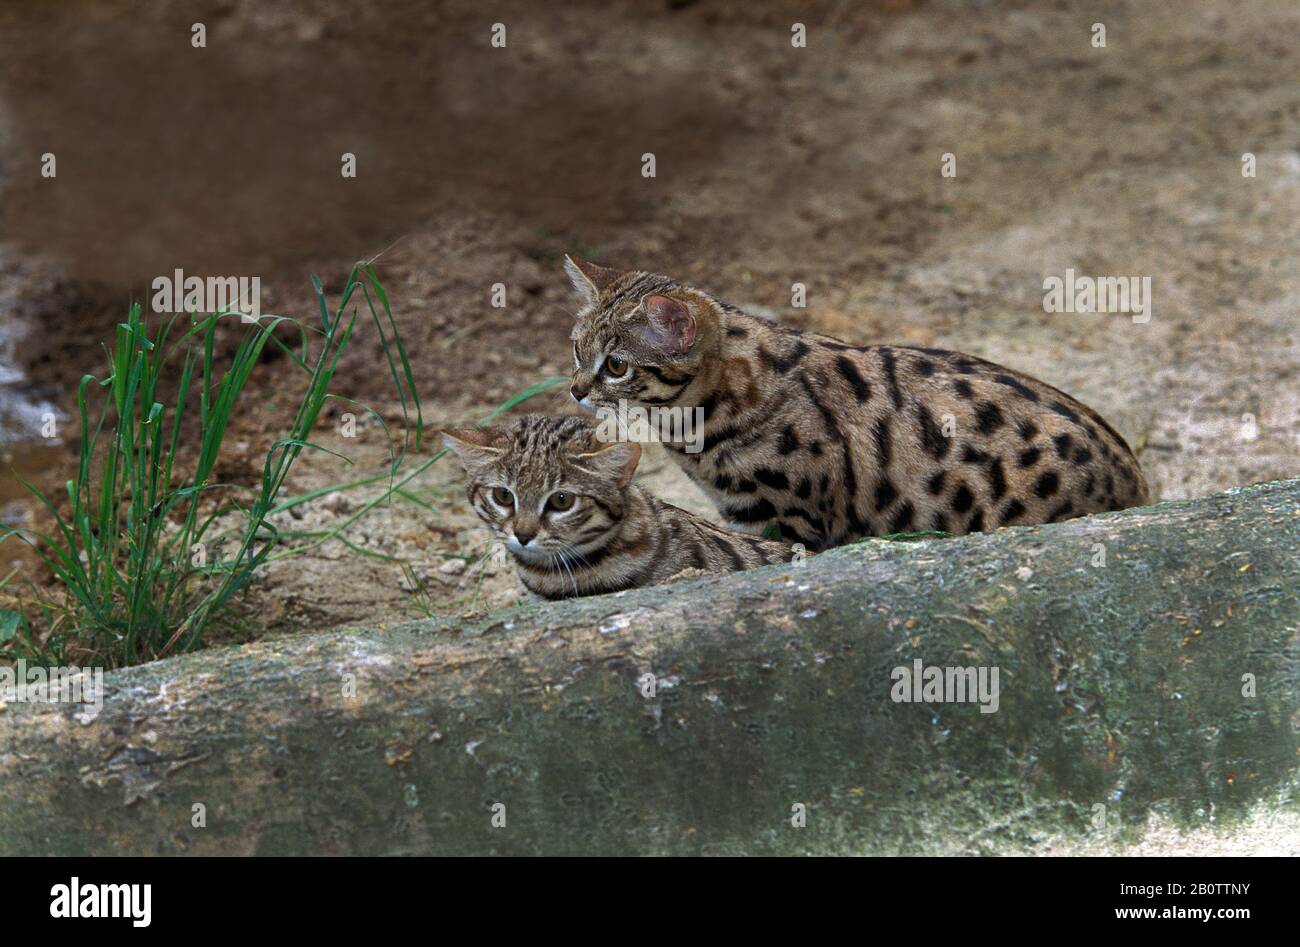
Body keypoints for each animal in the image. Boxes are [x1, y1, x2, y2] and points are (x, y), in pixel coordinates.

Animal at [564, 258, 1154, 554]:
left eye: (616, 365)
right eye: (576, 349)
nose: (574, 390)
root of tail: (1140, 487)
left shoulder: (794, 521)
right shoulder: (744, 516)